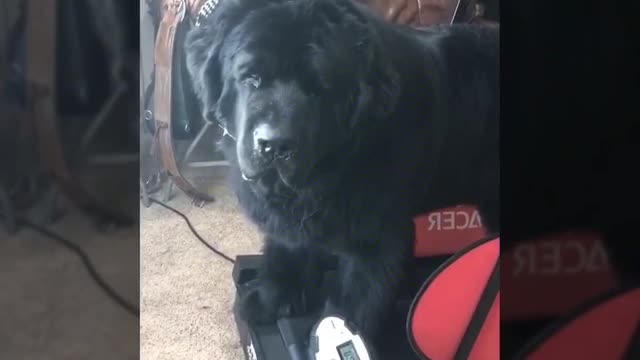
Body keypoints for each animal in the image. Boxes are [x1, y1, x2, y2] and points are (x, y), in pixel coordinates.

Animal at [184, 0, 500, 340]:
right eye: (251, 78)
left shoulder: (375, 239)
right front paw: (273, 298)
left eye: (318, 88)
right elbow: (289, 249)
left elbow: (357, 296)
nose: (275, 143)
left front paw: (338, 334)